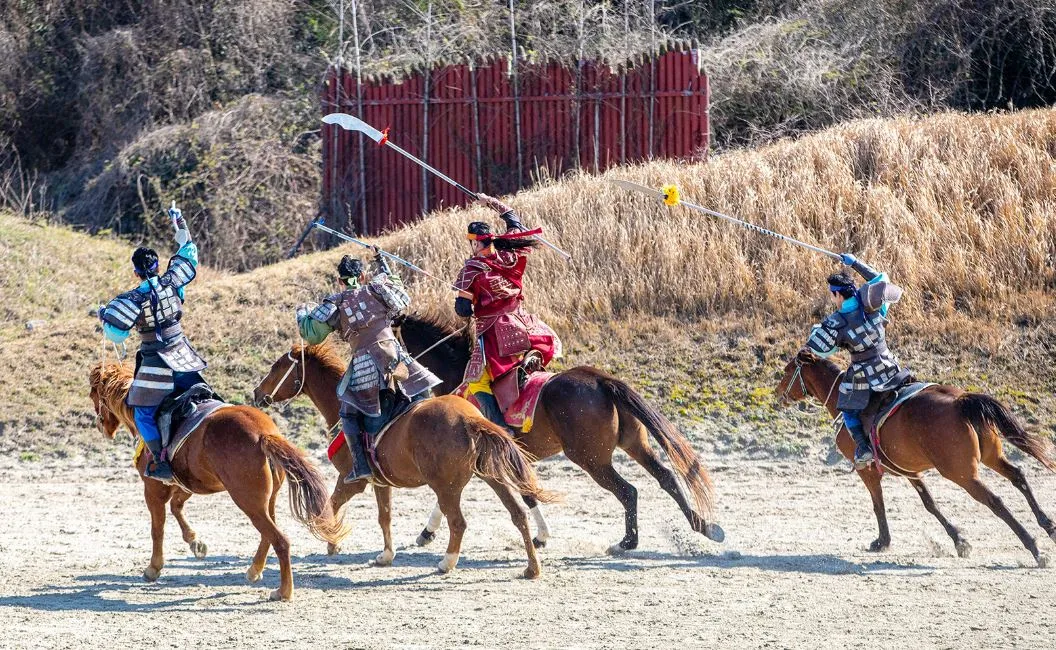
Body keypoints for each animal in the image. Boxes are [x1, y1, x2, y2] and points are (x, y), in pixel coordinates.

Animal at [87, 360, 346, 599]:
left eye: (93, 393)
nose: (101, 426)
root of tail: (264, 433)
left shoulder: (153, 488)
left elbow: (157, 528)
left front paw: (154, 567)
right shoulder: (187, 483)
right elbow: (176, 507)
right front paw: (195, 542)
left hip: (248, 501)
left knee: (280, 540)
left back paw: (283, 591)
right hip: (266, 500)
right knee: (268, 534)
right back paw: (254, 570)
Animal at [253, 341, 561, 578]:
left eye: (277, 366)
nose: (257, 394)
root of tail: (470, 419)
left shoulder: (352, 480)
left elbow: (332, 503)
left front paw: (331, 539)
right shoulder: (380, 483)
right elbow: (384, 516)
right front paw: (385, 555)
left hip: (446, 488)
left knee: (458, 523)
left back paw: (447, 562)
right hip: (490, 477)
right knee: (518, 514)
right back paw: (532, 567)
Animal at [390, 312, 726, 552]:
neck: (459, 372)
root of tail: (601, 380)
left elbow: (522, 494)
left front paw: (541, 535)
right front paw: (426, 533)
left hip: (591, 459)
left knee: (628, 491)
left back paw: (627, 542)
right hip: (634, 443)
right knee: (666, 477)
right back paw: (705, 527)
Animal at [777, 348, 1056, 565]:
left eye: (788, 370)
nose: (779, 393)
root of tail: (961, 402)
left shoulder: (867, 471)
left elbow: (878, 504)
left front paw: (883, 541)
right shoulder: (910, 470)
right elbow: (929, 503)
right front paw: (959, 541)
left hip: (962, 474)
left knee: (995, 500)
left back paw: (1034, 548)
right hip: (991, 458)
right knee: (1018, 477)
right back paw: (1049, 526)